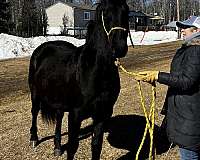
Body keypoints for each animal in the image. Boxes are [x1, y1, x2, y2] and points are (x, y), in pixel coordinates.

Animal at [28, 0, 130, 159]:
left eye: (127, 11)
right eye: (105, 12)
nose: (119, 47)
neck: (94, 71)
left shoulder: (102, 114)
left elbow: (96, 146)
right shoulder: (75, 115)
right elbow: (72, 147)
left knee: (58, 117)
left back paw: (57, 147)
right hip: (35, 93)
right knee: (34, 112)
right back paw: (34, 139)